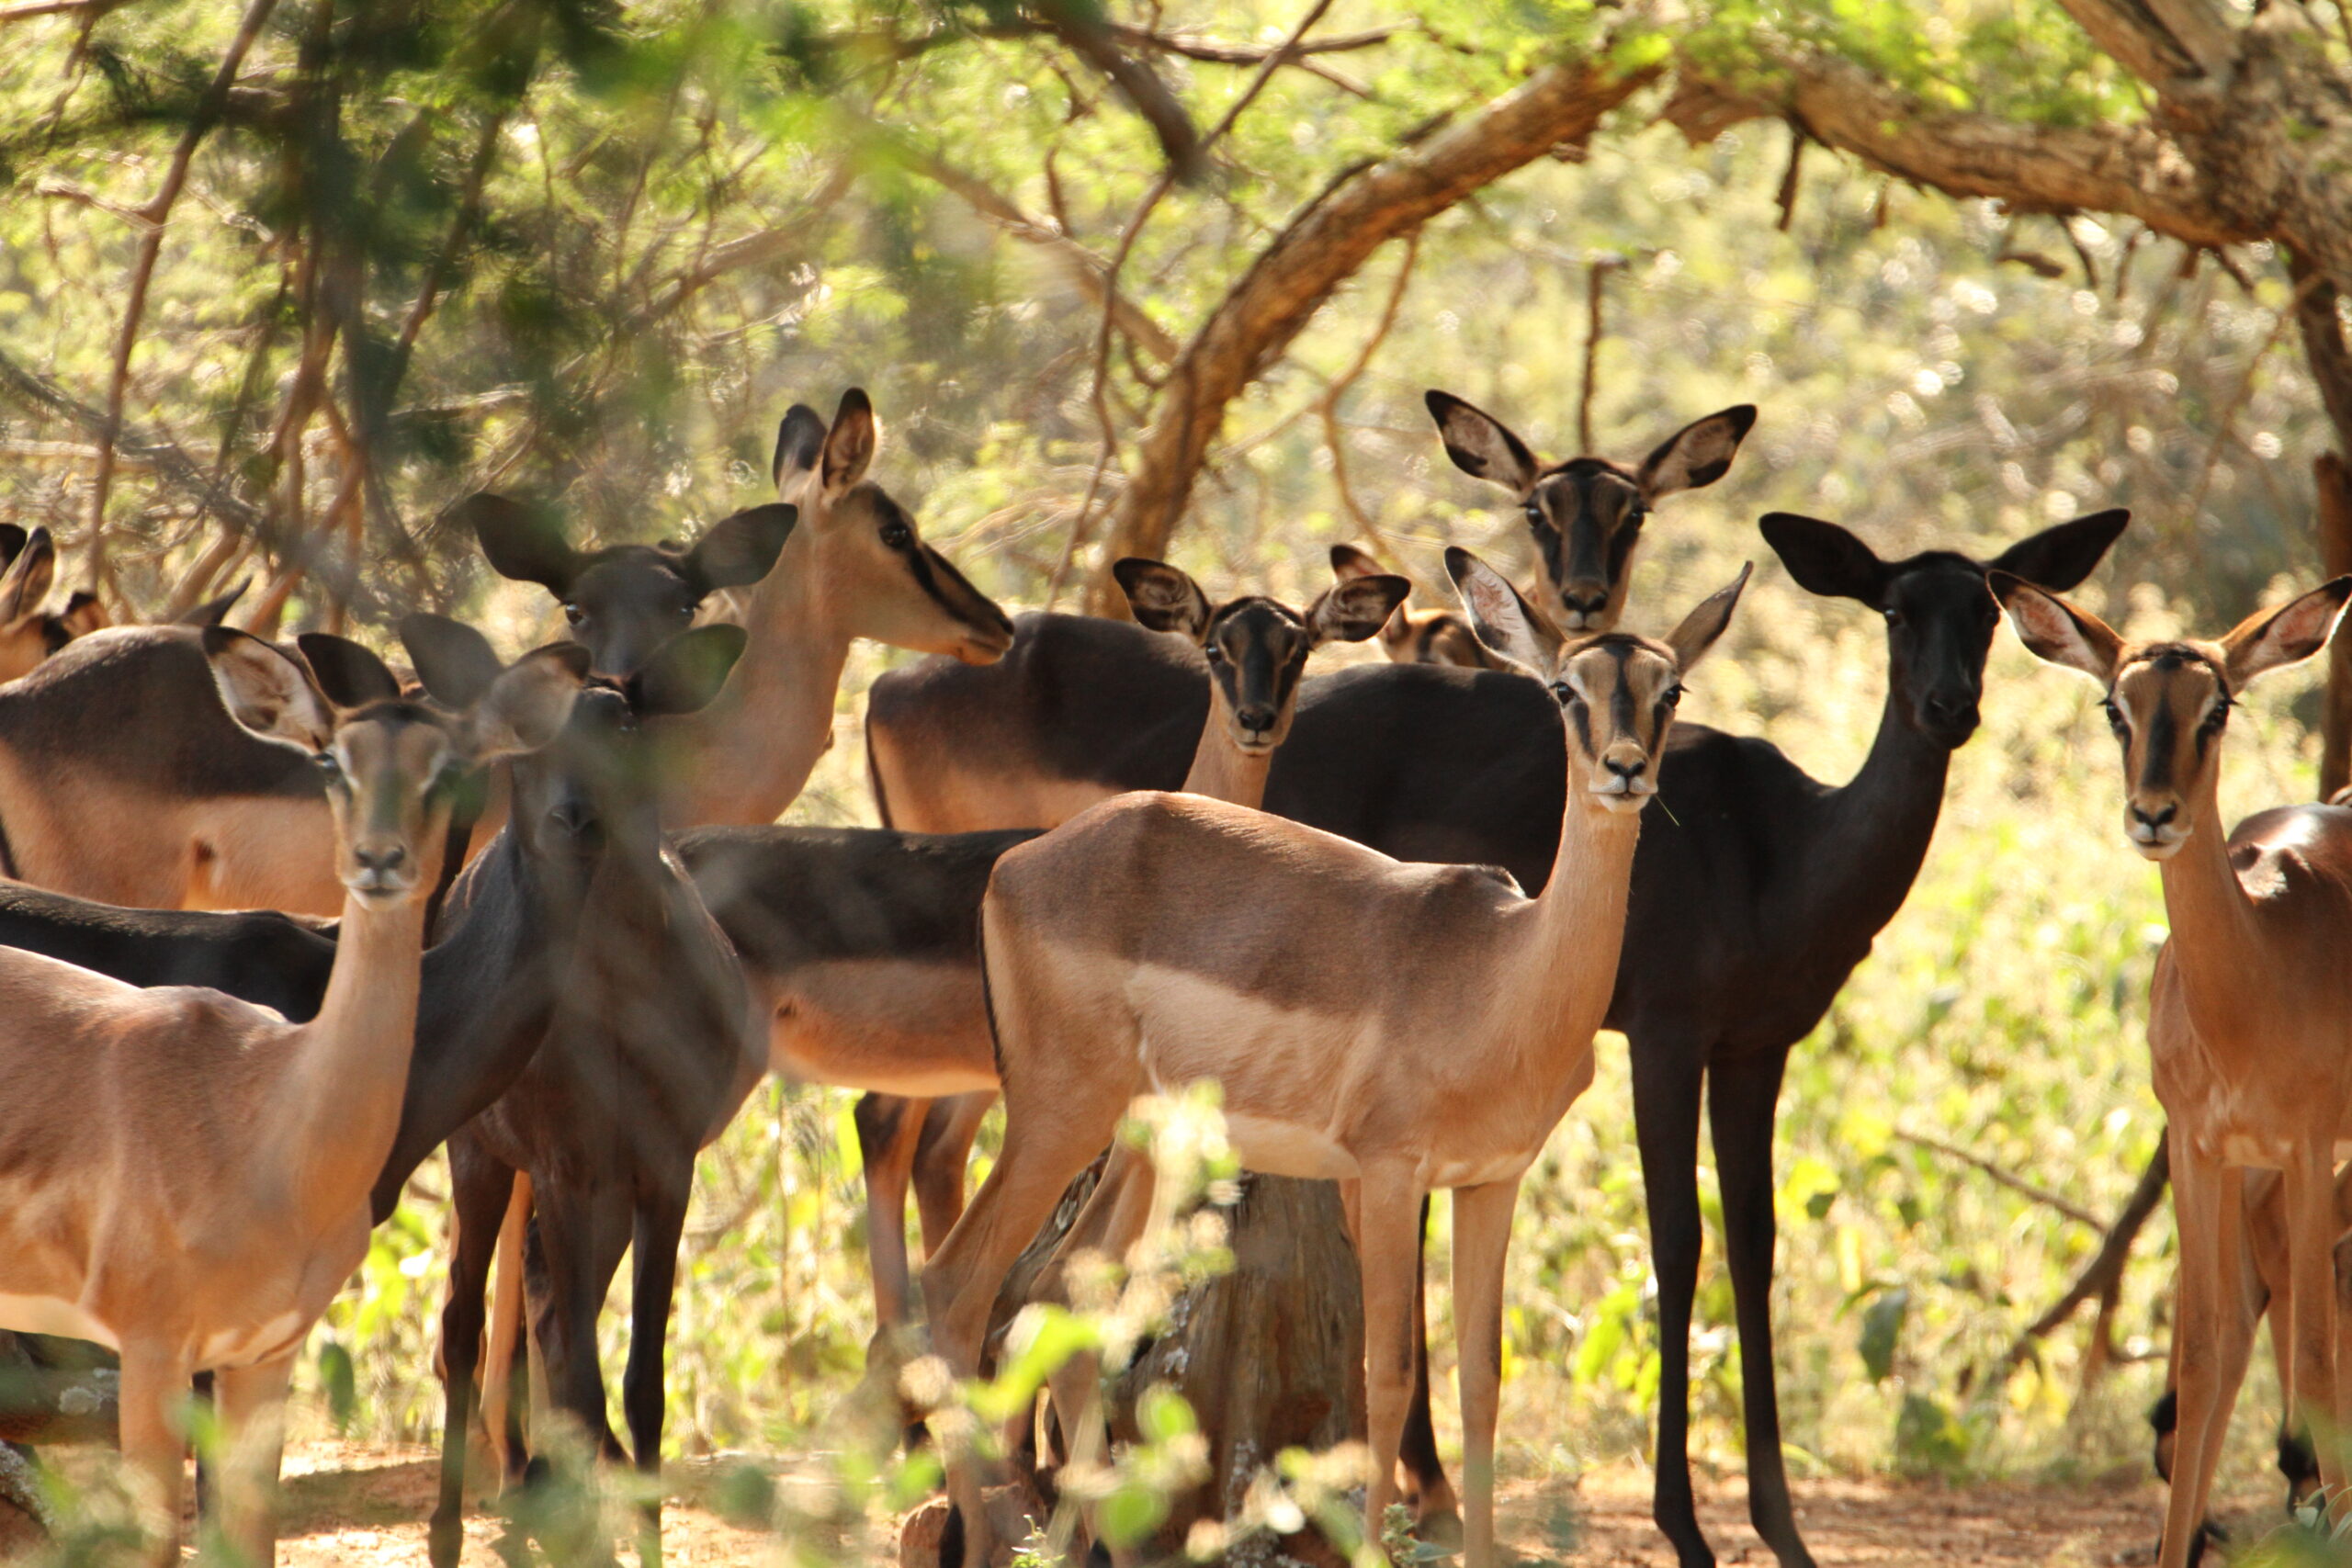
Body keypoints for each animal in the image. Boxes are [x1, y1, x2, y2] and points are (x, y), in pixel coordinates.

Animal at [921, 555, 1748, 1568]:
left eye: (1669, 689)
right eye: (1565, 688)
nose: (1625, 771)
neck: (1502, 973)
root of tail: (1018, 869)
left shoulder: (1491, 1181)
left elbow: (1481, 1381)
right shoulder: (1388, 1176)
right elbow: (1385, 1373)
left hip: (1141, 1139)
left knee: (1063, 1297)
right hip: (1055, 1120)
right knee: (958, 1290)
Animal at [1991, 571, 2352, 1568]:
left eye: (2216, 706)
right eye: (2116, 707)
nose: (2153, 814)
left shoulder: (2308, 1144)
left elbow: (2312, 1349)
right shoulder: (2200, 1147)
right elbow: (2200, 1351)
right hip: (2255, 1179)